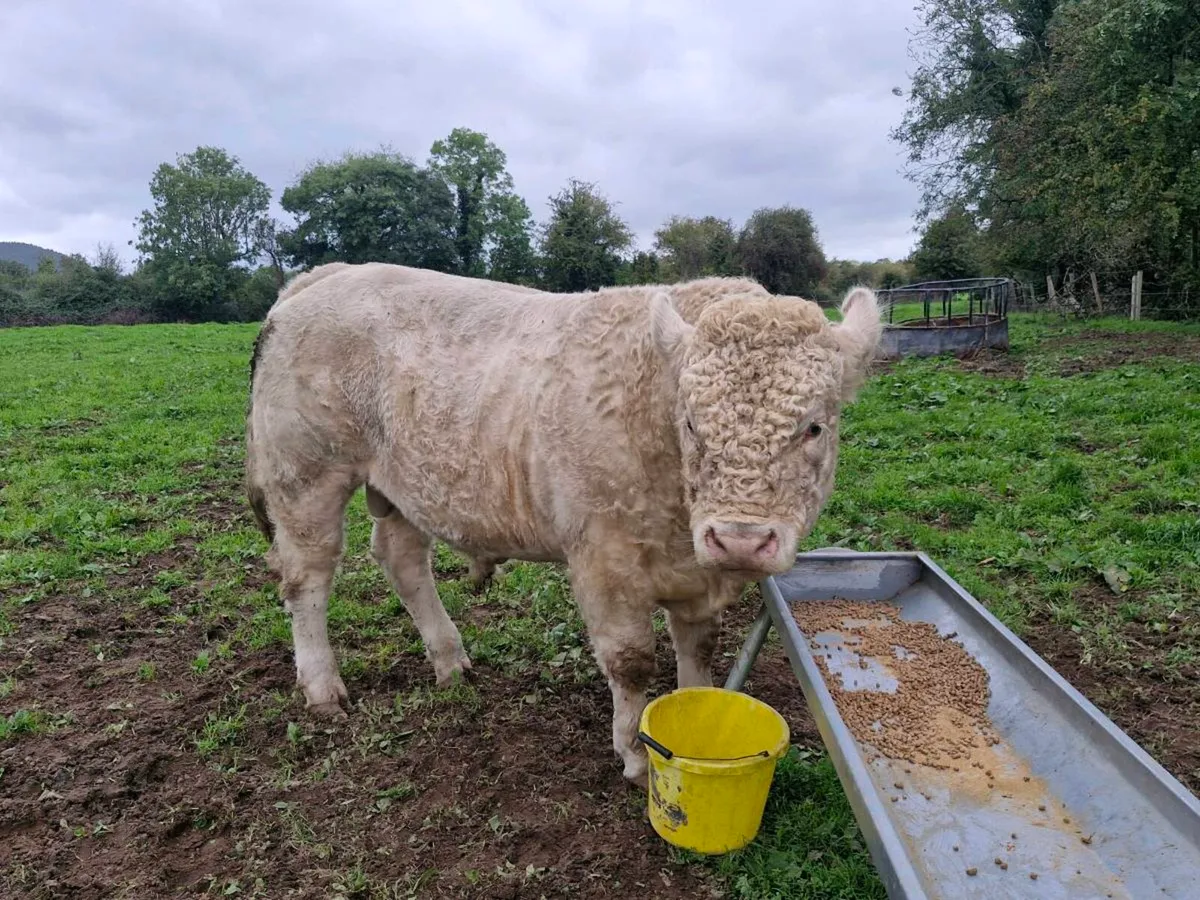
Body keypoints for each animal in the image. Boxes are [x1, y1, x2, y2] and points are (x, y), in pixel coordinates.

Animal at [244, 262, 882, 784]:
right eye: (691, 424)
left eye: (815, 426)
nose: (740, 540)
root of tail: (326, 277)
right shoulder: (604, 559)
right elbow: (630, 660)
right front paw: (635, 753)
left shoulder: (694, 573)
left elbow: (698, 649)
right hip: (306, 474)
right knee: (306, 579)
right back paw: (323, 686)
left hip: (404, 484)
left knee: (401, 561)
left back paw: (450, 660)